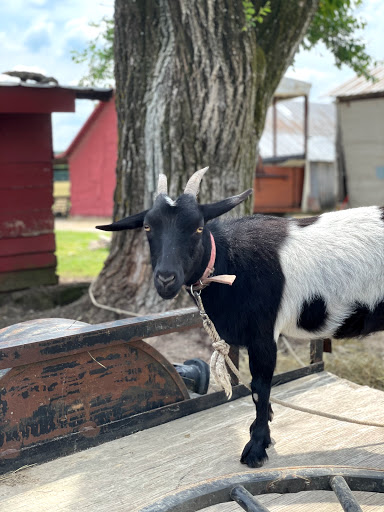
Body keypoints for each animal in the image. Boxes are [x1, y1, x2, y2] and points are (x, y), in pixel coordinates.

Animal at [97, 168, 384, 468]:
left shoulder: (263, 334)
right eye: (148, 227)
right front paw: (262, 431)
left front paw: (256, 448)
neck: (230, 262)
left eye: (198, 227)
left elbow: (259, 387)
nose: (165, 279)